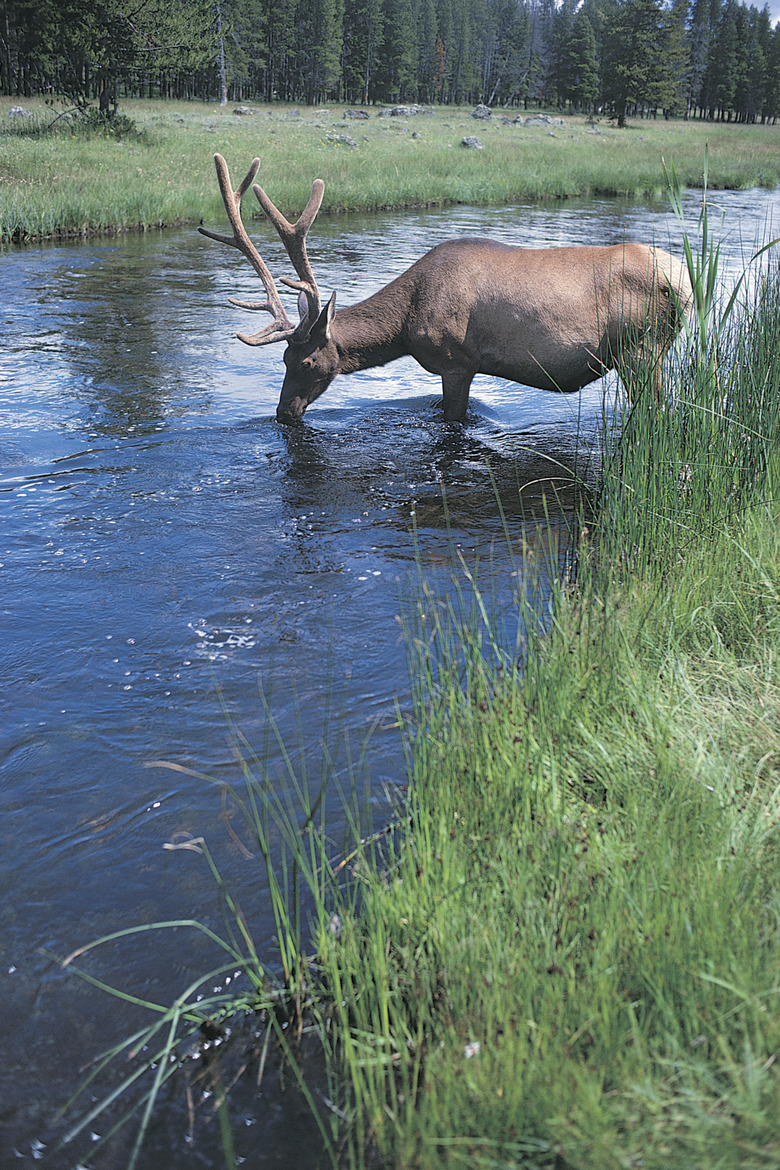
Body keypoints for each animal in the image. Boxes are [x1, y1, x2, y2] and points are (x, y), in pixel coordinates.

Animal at [199, 155, 687, 425]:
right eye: (281, 359)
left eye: (308, 361)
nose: (283, 414)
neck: (405, 324)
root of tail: (682, 280)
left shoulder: (457, 361)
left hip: (642, 350)